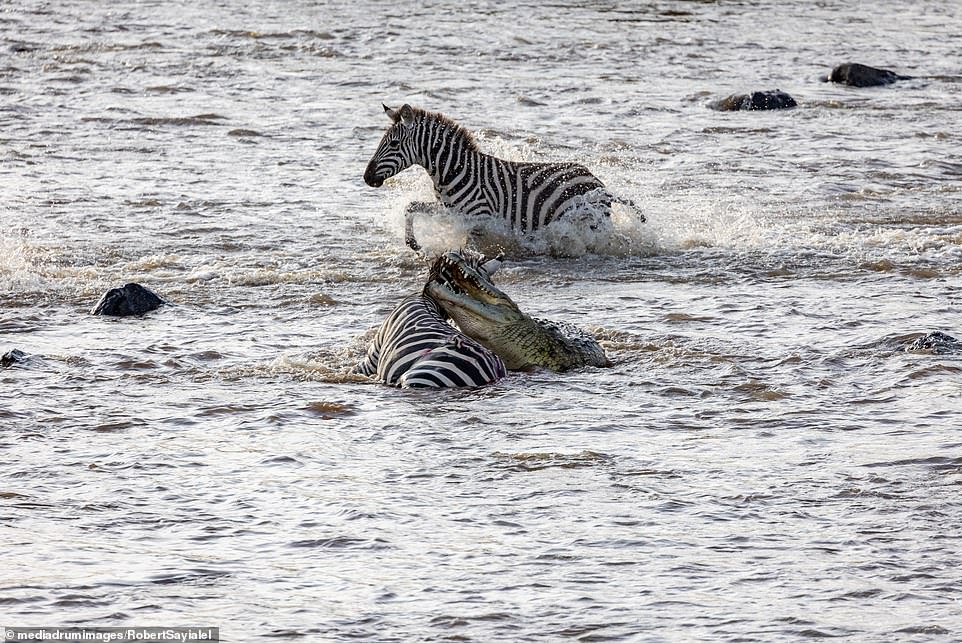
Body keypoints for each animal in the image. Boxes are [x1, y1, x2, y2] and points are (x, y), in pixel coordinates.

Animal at [362, 104, 644, 250]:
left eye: (394, 144)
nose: (366, 177)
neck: (453, 170)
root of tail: (599, 182)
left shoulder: (479, 218)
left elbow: (470, 245)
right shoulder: (451, 211)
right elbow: (411, 206)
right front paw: (412, 242)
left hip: (591, 222)